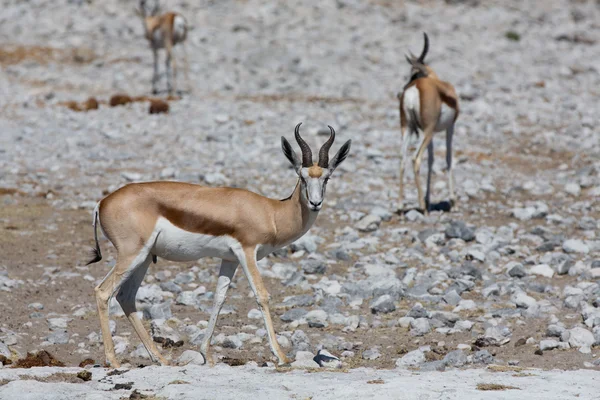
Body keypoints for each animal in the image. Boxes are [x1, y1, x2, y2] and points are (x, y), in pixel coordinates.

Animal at [398, 33, 460, 214]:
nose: (400, 91)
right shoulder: (449, 127)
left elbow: (431, 160)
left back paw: (400, 206)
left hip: (408, 129)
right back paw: (422, 207)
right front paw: (453, 201)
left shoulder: (431, 133)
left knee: (402, 158)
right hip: (427, 131)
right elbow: (448, 158)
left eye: (412, 74)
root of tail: (413, 91)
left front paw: (429, 199)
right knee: (415, 158)